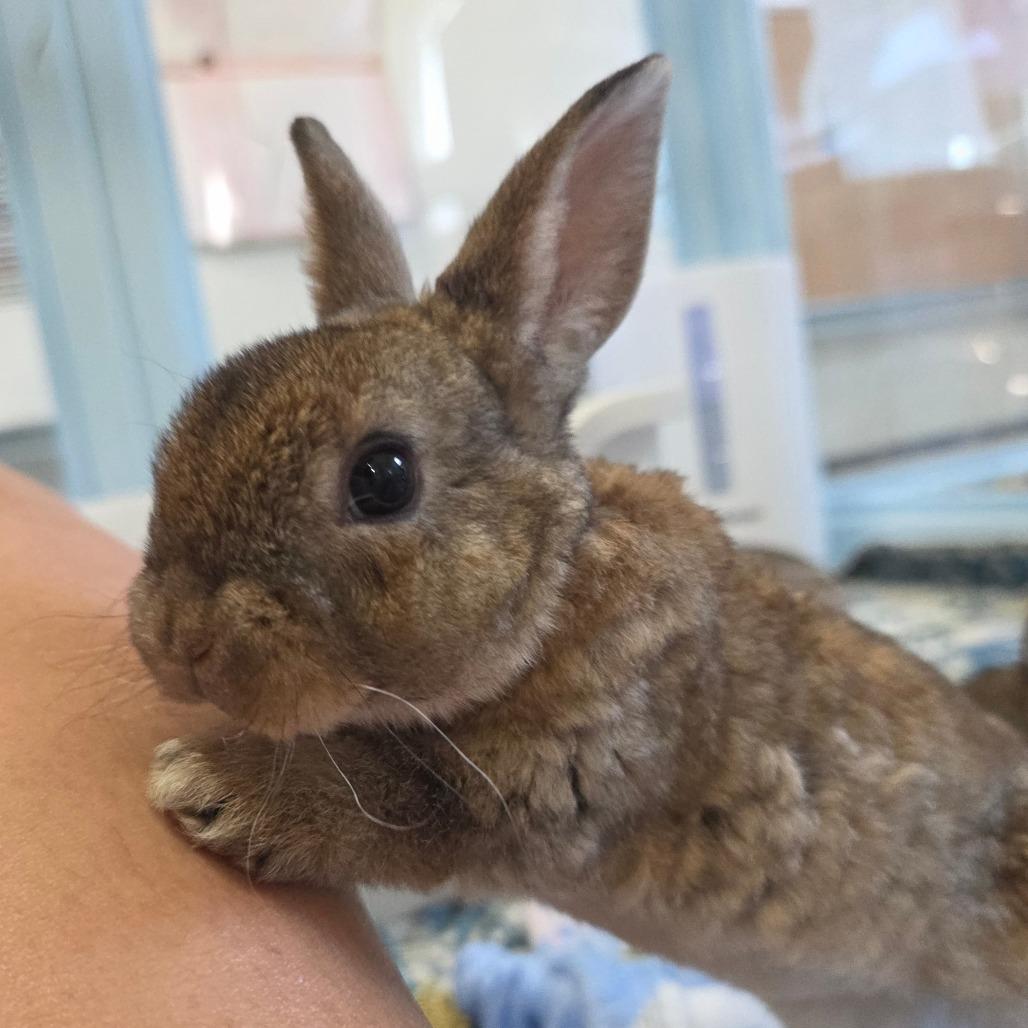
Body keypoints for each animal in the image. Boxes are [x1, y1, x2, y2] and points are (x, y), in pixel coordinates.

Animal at [130, 55, 1028, 1027]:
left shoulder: (546, 786)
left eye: (383, 477)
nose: (180, 639)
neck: (554, 587)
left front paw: (206, 784)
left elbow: (387, 804)